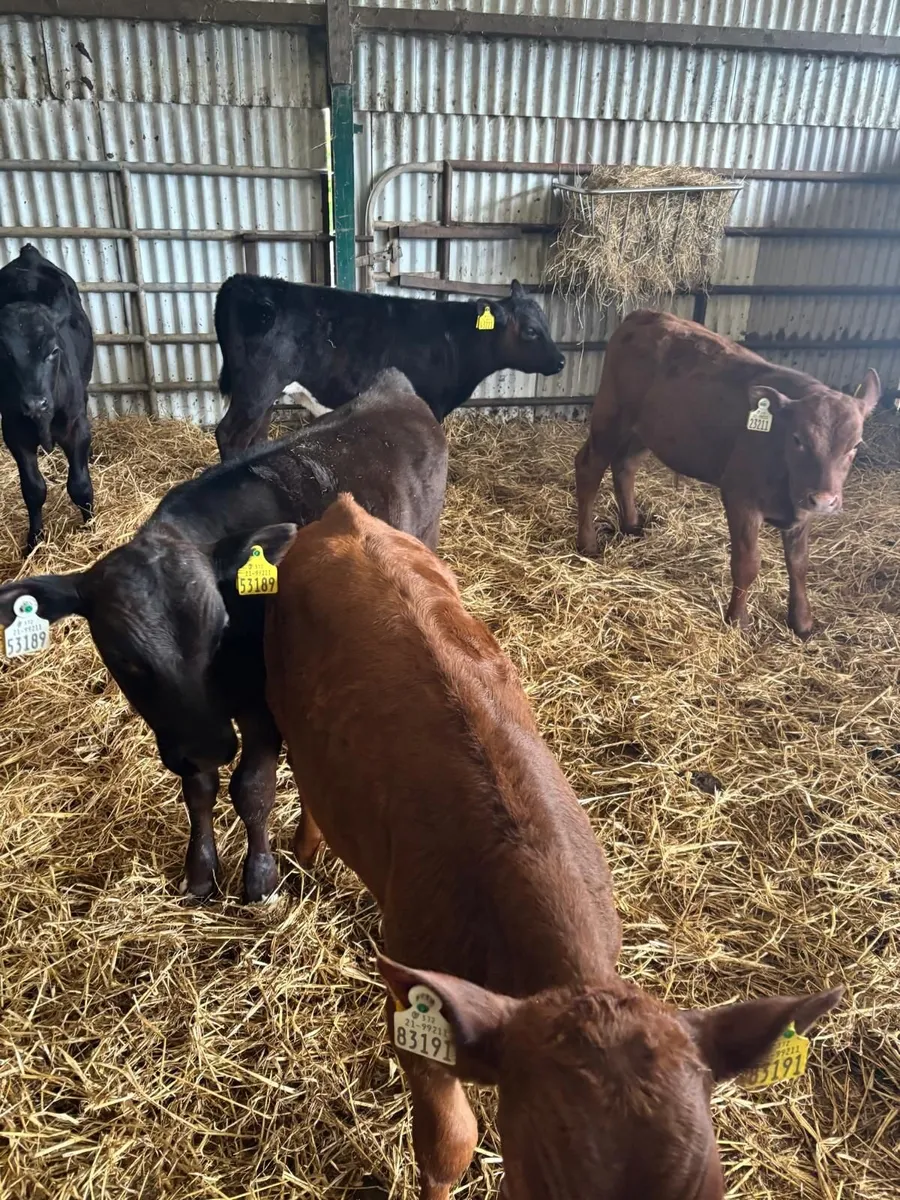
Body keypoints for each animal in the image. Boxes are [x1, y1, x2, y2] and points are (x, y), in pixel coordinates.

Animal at [0, 244, 94, 553]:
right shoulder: (13, 432)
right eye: (5, 353)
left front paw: (92, 528)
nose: (34, 404)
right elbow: (33, 489)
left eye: (54, 350)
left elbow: (80, 485)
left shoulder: (77, 425)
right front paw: (34, 540)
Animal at [0, 371, 448, 903]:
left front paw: (261, 879)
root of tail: (393, 388)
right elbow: (199, 790)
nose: (209, 747)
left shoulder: (263, 705)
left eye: (218, 634)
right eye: (127, 659)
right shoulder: (183, 726)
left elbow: (251, 788)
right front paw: (200, 873)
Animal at [213, 275, 566, 460]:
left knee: (254, 437)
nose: (561, 360)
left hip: (264, 396)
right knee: (228, 434)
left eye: (547, 324)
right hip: (256, 388)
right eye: (531, 331)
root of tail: (242, 282)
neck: (454, 339)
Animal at [574, 310, 881, 638]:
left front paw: (802, 622)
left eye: (855, 445)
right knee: (589, 469)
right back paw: (588, 543)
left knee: (625, 466)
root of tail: (645, 314)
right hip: (610, 418)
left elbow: (799, 564)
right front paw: (738, 620)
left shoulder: (802, 510)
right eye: (798, 439)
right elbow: (747, 563)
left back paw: (631, 524)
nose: (824, 500)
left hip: (645, 432)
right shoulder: (740, 497)